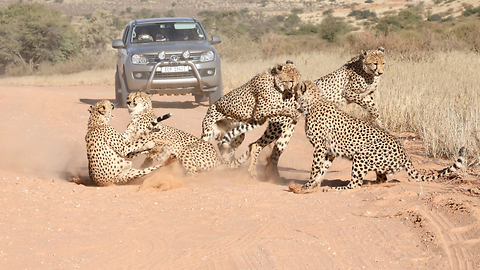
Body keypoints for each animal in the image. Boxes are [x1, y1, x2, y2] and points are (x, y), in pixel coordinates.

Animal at [123, 92, 251, 176]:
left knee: (194, 173)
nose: (127, 101)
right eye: (128, 96)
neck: (137, 115)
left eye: (137, 96)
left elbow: (151, 148)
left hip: (186, 151)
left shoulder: (163, 139)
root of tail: (217, 158)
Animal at [286, 80, 466, 192]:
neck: (313, 102)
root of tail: (405, 153)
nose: (289, 93)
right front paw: (314, 185)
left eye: (295, 90)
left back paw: (338, 188)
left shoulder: (319, 147)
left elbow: (315, 168)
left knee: (356, 183)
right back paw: (372, 183)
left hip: (362, 153)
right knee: (382, 179)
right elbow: (322, 169)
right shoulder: (329, 150)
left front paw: (307, 185)